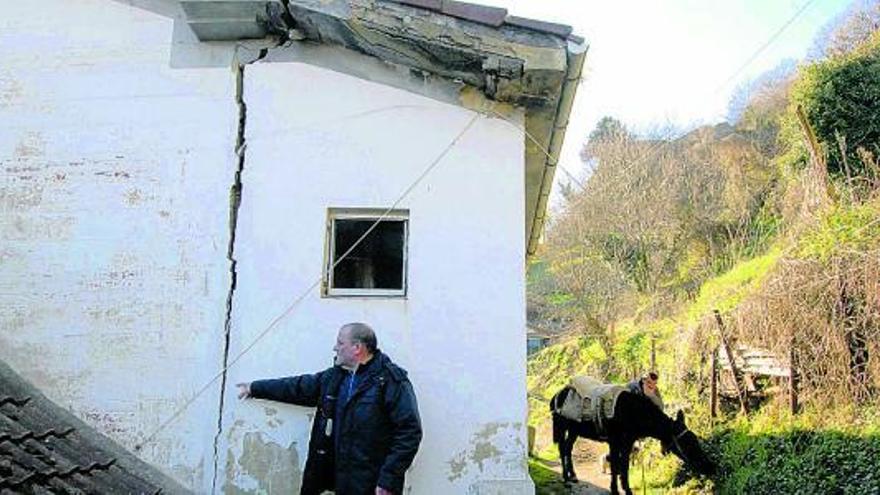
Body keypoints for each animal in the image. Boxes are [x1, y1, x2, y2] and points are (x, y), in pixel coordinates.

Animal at [552, 388, 716, 495]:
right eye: (687, 443)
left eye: (694, 439)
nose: (710, 467)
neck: (635, 414)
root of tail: (556, 395)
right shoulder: (615, 442)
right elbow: (616, 466)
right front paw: (615, 490)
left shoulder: (627, 443)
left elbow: (624, 466)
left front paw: (626, 489)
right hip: (562, 427)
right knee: (562, 448)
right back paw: (565, 478)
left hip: (574, 431)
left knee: (567, 448)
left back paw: (573, 476)